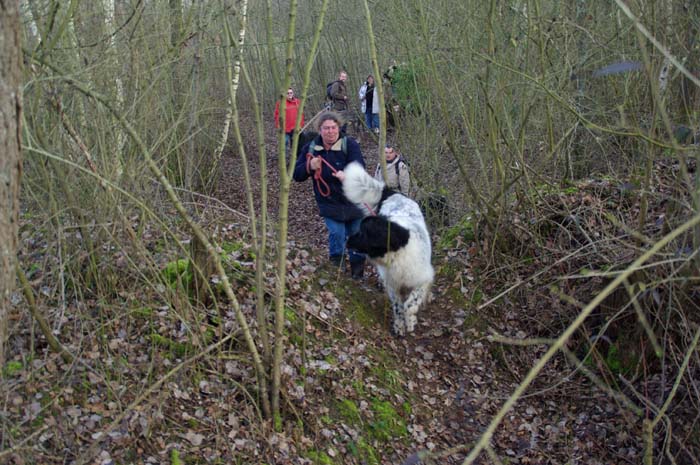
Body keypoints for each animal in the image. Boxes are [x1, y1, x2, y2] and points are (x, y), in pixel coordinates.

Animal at [340, 162, 432, 334]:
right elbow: (398, 306)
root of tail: (393, 193)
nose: (347, 240)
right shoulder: (392, 284)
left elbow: (410, 304)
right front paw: (399, 325)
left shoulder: (423, 278)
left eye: (362, 233)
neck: (397, 253)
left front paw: (410, 321)